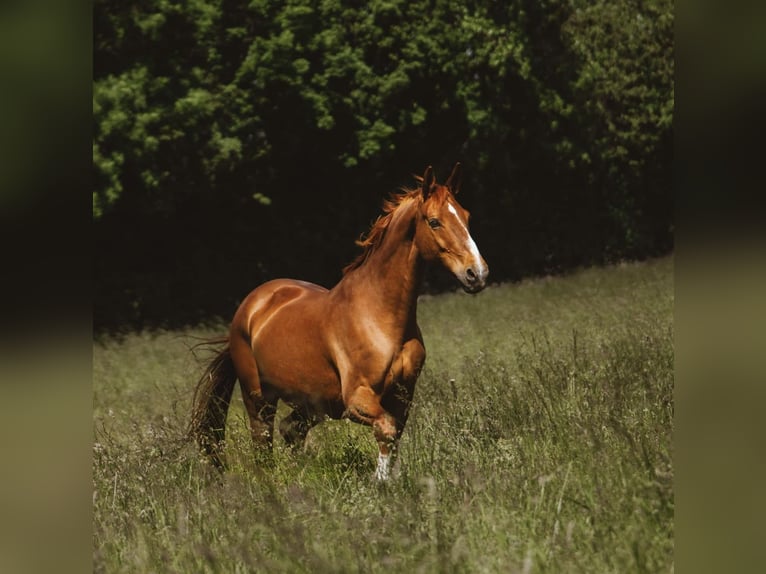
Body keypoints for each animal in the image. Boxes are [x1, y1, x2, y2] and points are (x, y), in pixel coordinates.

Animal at [189, 163, 488, 480]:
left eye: (466, 216)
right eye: (434, 222)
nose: (477, 274)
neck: (380, 316)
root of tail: (249, 307)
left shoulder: (403, 396)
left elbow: (393, 436)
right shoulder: (357, 400)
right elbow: (386, 430)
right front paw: (381, 483)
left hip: (312, 404)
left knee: (290, 430)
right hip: (258, 398)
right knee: (263, 443)